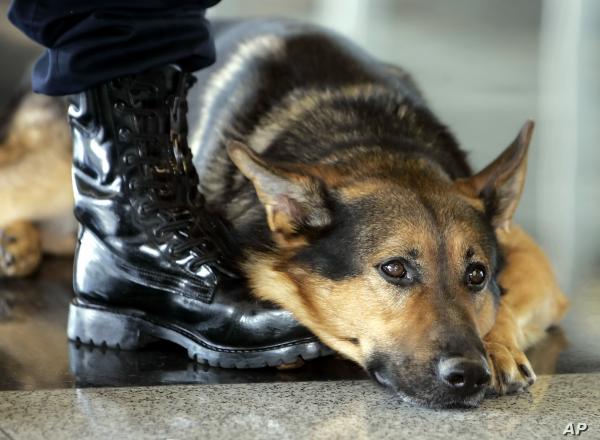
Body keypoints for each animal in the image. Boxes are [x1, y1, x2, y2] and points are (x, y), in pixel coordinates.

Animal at [0, 19, 568, 406]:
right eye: (394, 269)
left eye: (477, 275)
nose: (469, 374)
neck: (370, 138)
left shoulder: (535, 266)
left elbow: (508, 303)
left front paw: (498, 345)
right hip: (45, 177)